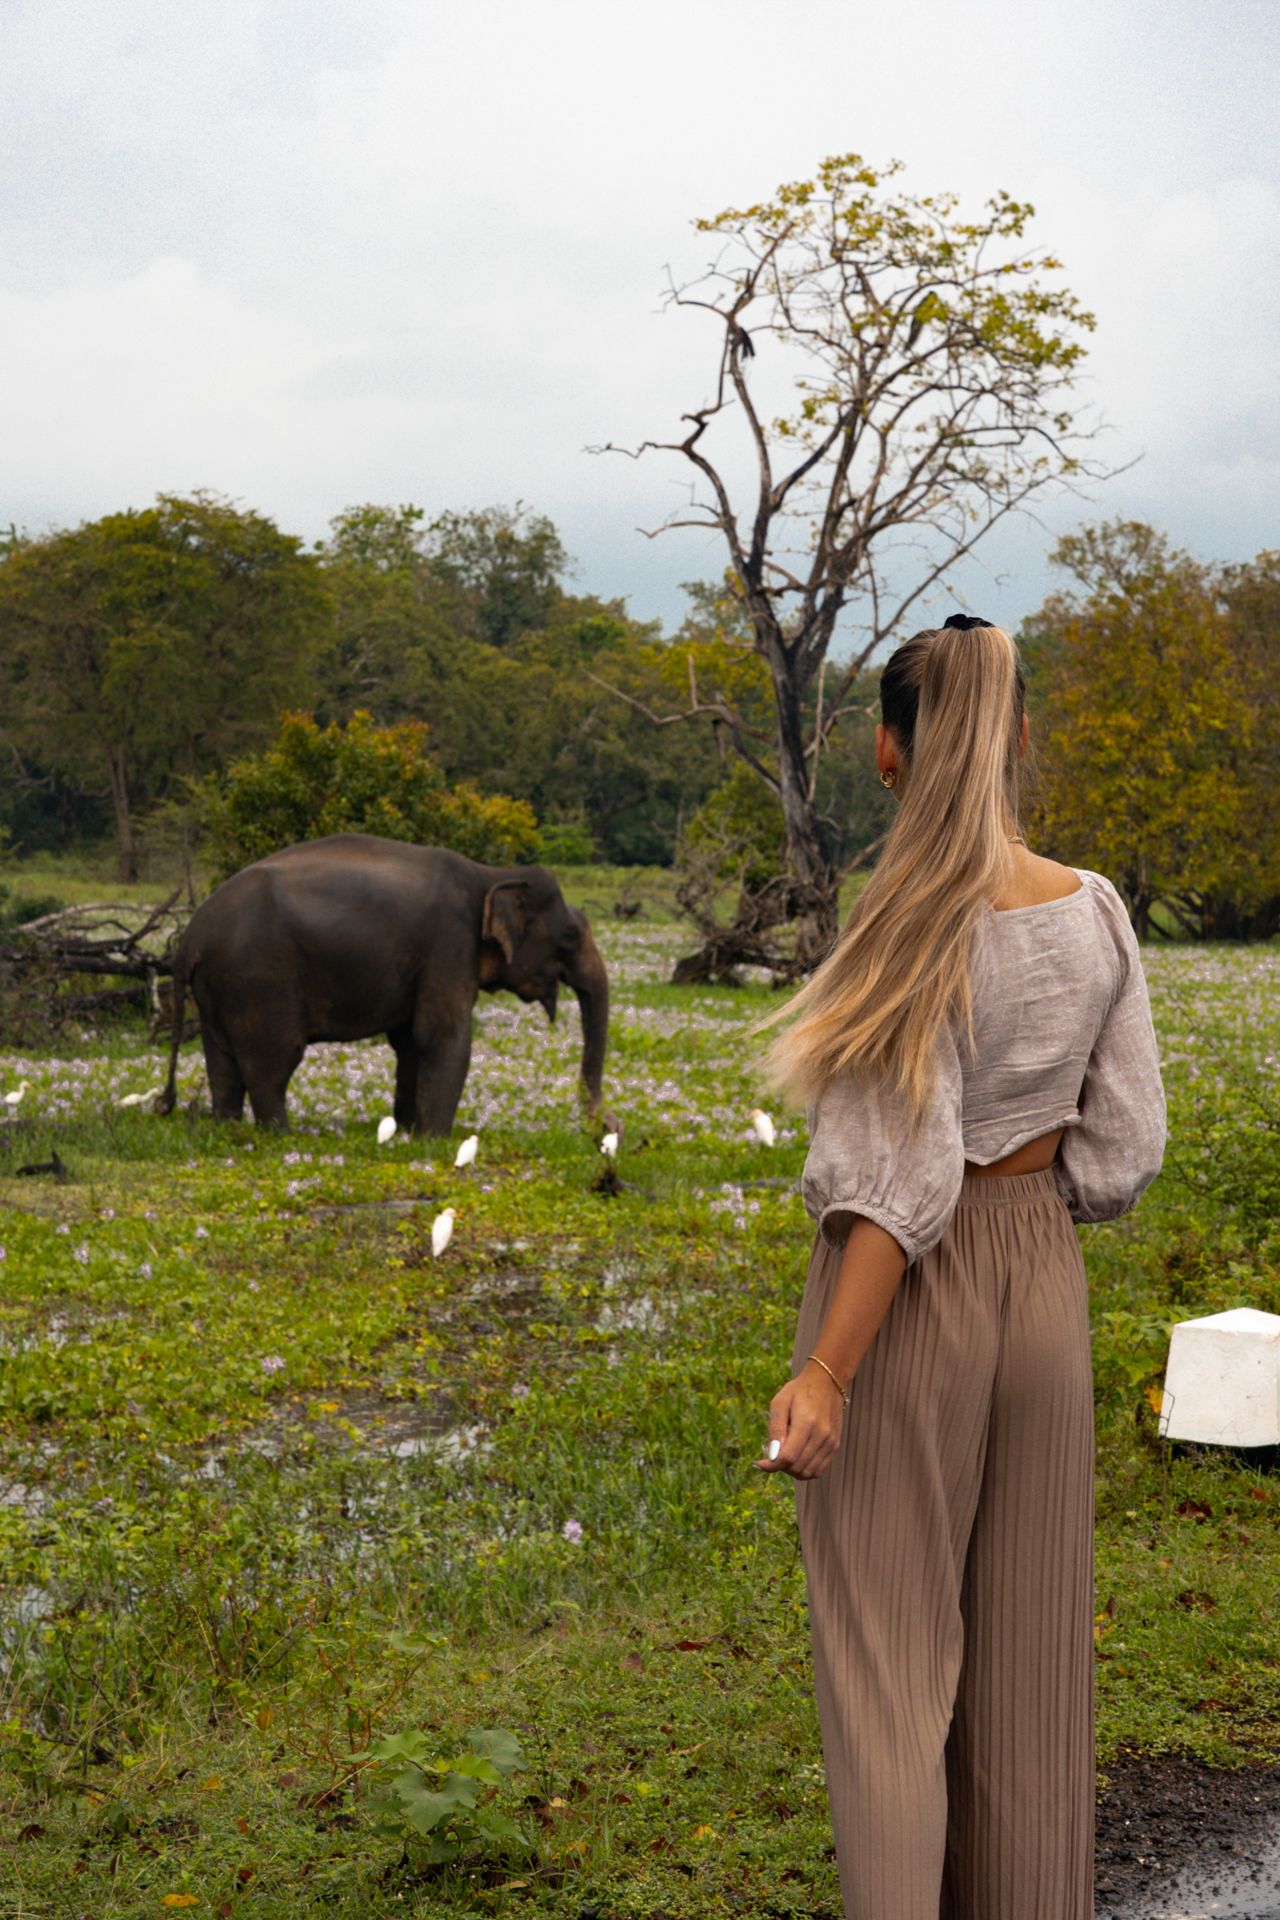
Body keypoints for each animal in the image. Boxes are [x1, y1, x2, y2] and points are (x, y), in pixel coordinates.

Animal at [158, 834, 608, 1135]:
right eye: (570, 935)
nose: (604, 1127)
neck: (491, 874)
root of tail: (190, 938)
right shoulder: (450, 943)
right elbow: (443, 1035)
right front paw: (435, 1141)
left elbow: (410, 1041)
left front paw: (407, 1131)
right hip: (257, 981)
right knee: (271, 1060)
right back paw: (281, 1136)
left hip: (215, 989)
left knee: (222, 1062)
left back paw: (228, 1131)